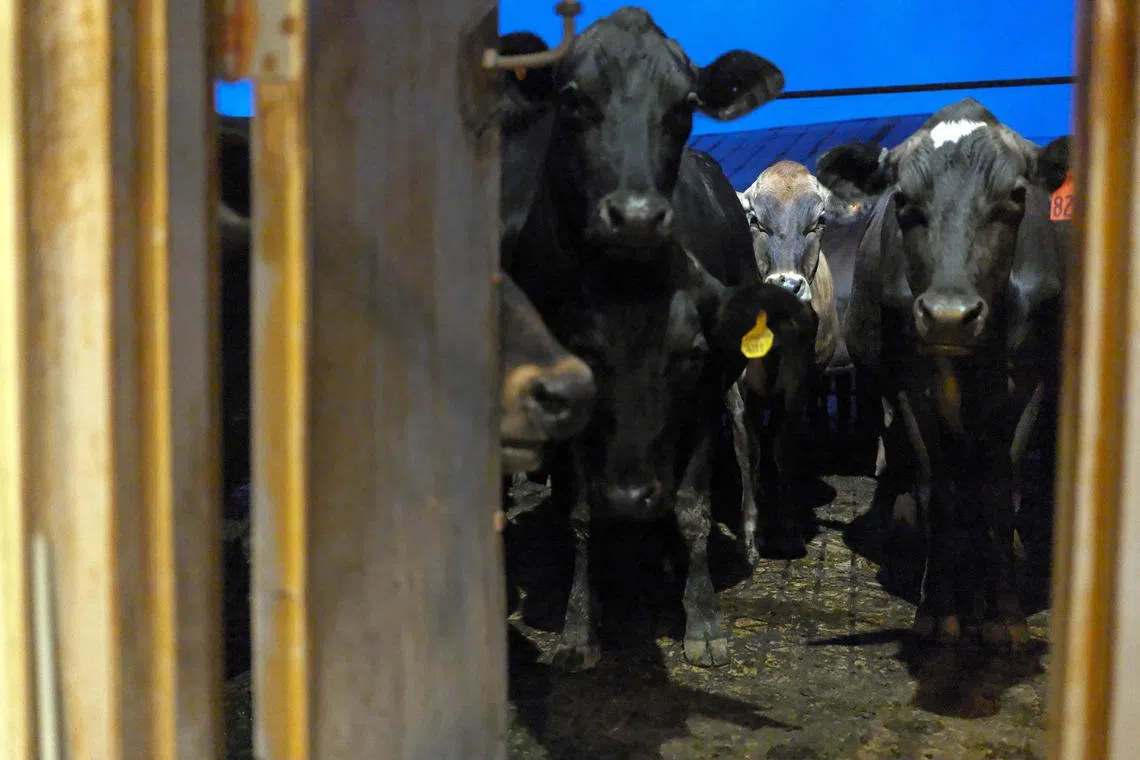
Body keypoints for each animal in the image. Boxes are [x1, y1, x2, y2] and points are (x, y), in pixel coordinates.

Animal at [497, 7, 807, 671]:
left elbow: (692, 508)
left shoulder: (709, 381)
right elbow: (582, 512)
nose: (637, 215)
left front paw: (703, 620)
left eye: (685, 104)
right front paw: (578, 627)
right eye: (572, 98)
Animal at [813, 97, 1069, 647]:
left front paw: (1004, 614)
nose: (949, 314)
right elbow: (937, 490)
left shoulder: (1030, 381)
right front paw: (938, 608)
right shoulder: (910, 384)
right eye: (902, 198)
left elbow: (1001, 492)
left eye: (1017, 195)